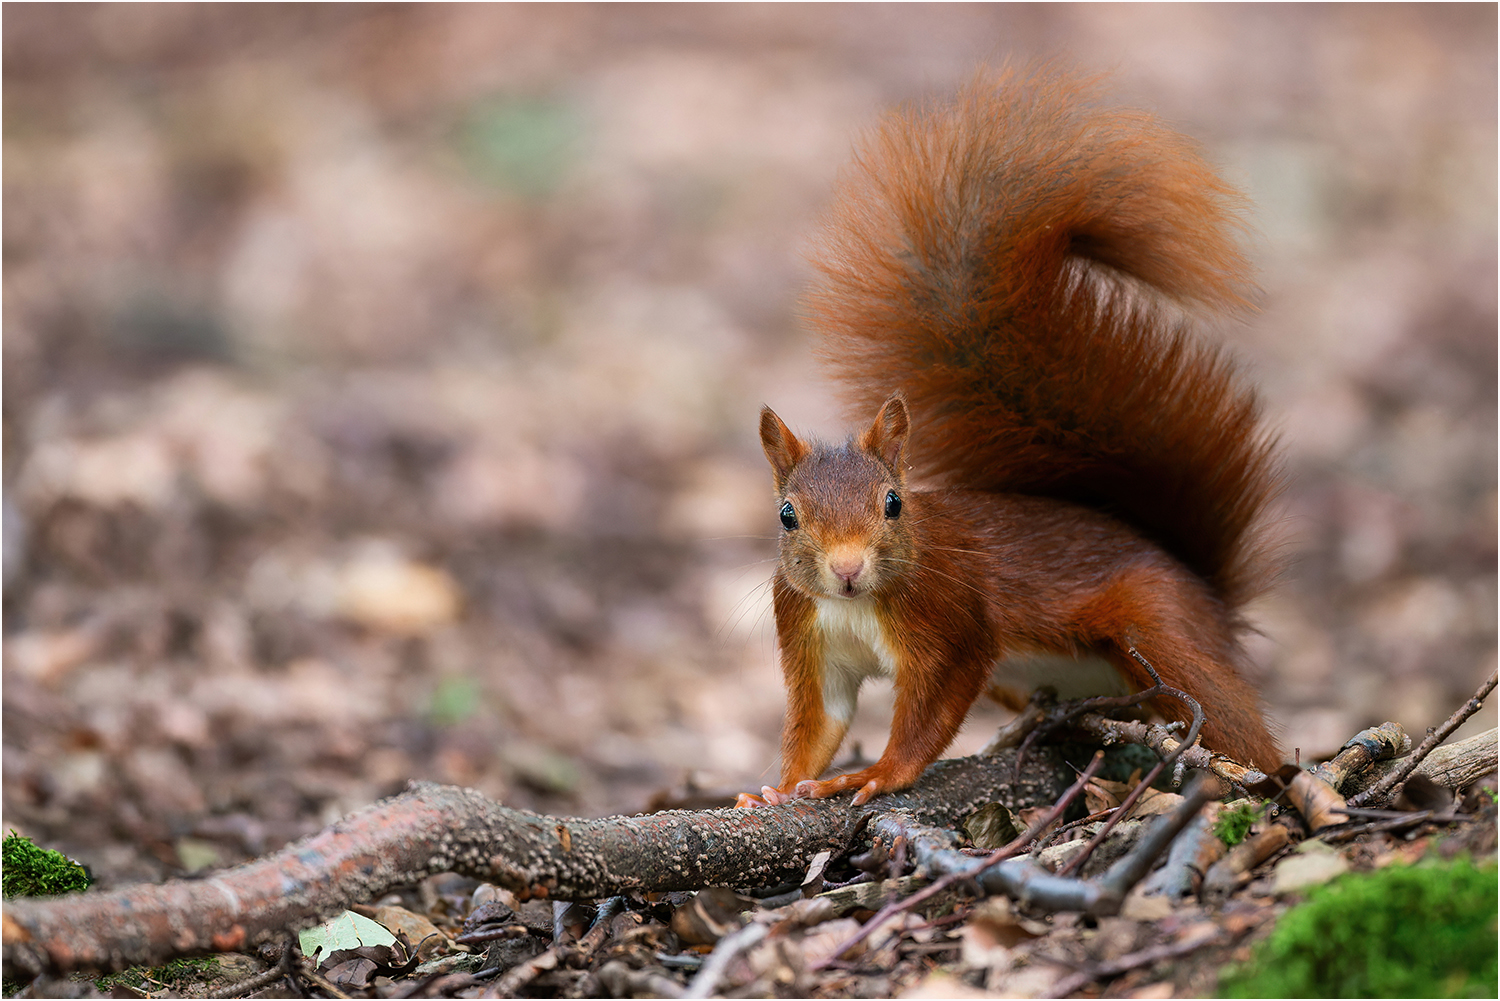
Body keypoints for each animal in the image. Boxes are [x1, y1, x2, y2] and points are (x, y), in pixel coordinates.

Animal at [735, 66, 1278, 810]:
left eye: (894, 502)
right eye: (788, 514)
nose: (846, 569)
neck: (854, 608)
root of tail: (1208, 593)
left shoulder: (956, 622)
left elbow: (929, 713)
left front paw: (878, 772)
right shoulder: (810, 638)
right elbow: (820, 723)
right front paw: (777, 789)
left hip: (1159, 629)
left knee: (1243, 731)